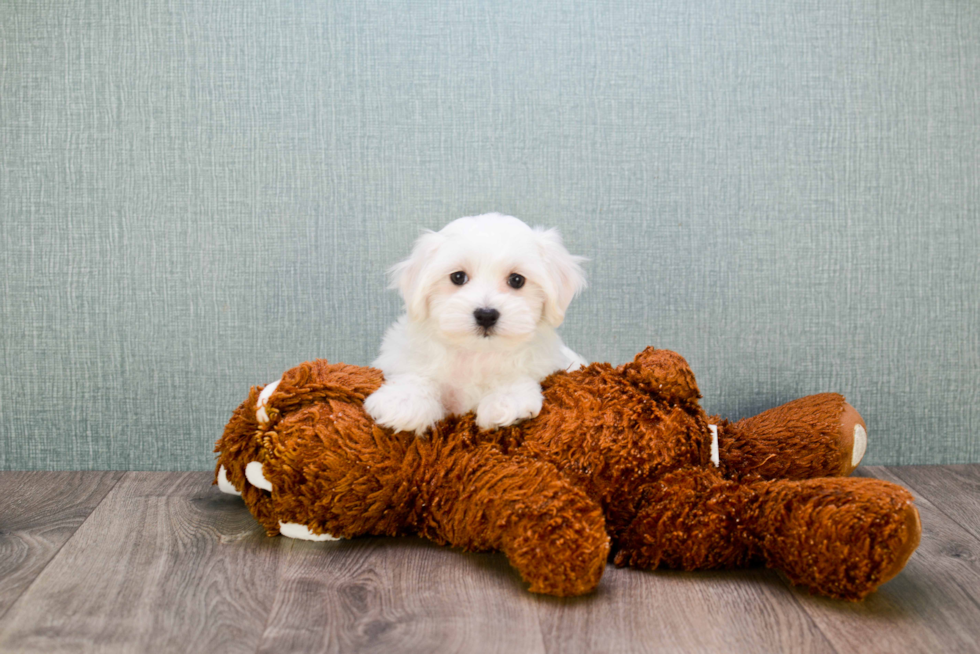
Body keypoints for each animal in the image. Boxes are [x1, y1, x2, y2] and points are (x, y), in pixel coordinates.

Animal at [364, 214, 584, 436]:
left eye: (516, 280)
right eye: (458, 277)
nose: (486, 315)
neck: (476, 353)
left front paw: (507, 401)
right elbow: (416, 374)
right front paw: (402, 399)